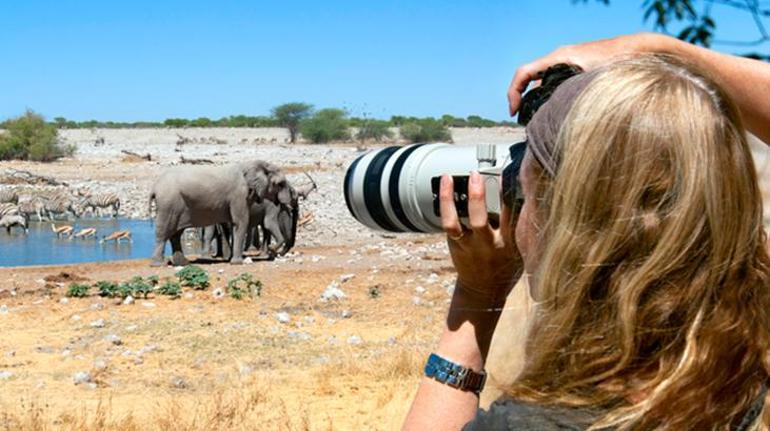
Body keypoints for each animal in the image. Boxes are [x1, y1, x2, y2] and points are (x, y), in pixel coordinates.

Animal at [149, 160, 292, 264]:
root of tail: (155, 187)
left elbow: (235, 224)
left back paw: (182, 263)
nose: (272, 250)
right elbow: (241, 222)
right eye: (280, 184)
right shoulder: (239, 195)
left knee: (176, 234)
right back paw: (159, 264)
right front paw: (237, 262)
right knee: (163, 232)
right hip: (168, 204)